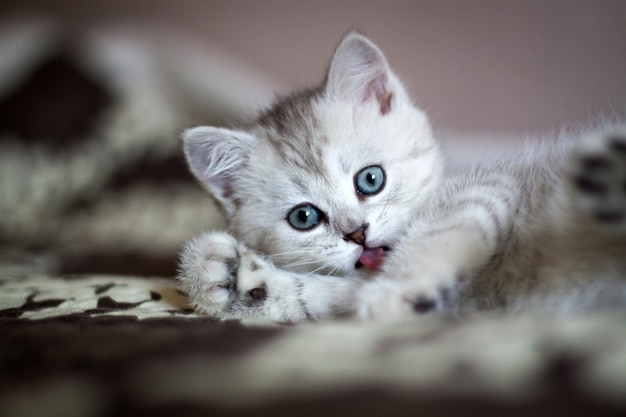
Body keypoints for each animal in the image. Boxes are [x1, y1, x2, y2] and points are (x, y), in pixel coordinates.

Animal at [176, 31, 624, 322]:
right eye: (304, 217)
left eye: (371, 180)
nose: (356, 232)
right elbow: (334, 296)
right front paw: (226, 278)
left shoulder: (492, 186)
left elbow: (434, 238)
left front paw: (400, 289)